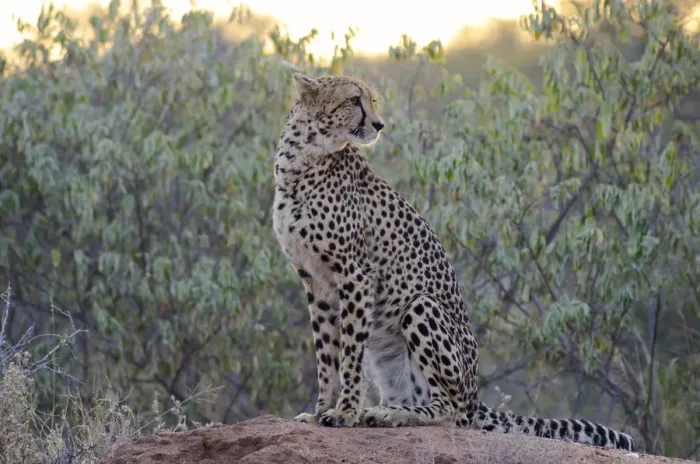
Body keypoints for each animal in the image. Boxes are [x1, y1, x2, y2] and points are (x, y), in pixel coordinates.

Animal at [272, 73, 635, 451]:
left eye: (372, 101)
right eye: (353, 100)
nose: (379, 124)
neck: (303, 159)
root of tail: (476, 394)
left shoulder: (355, 274)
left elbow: (350, 355)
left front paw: (344, 413)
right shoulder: (316, 281)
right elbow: (326, 356)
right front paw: (321, 412)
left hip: (421, 306)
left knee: (452, 413)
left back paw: (389, 414)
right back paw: (387, 411)